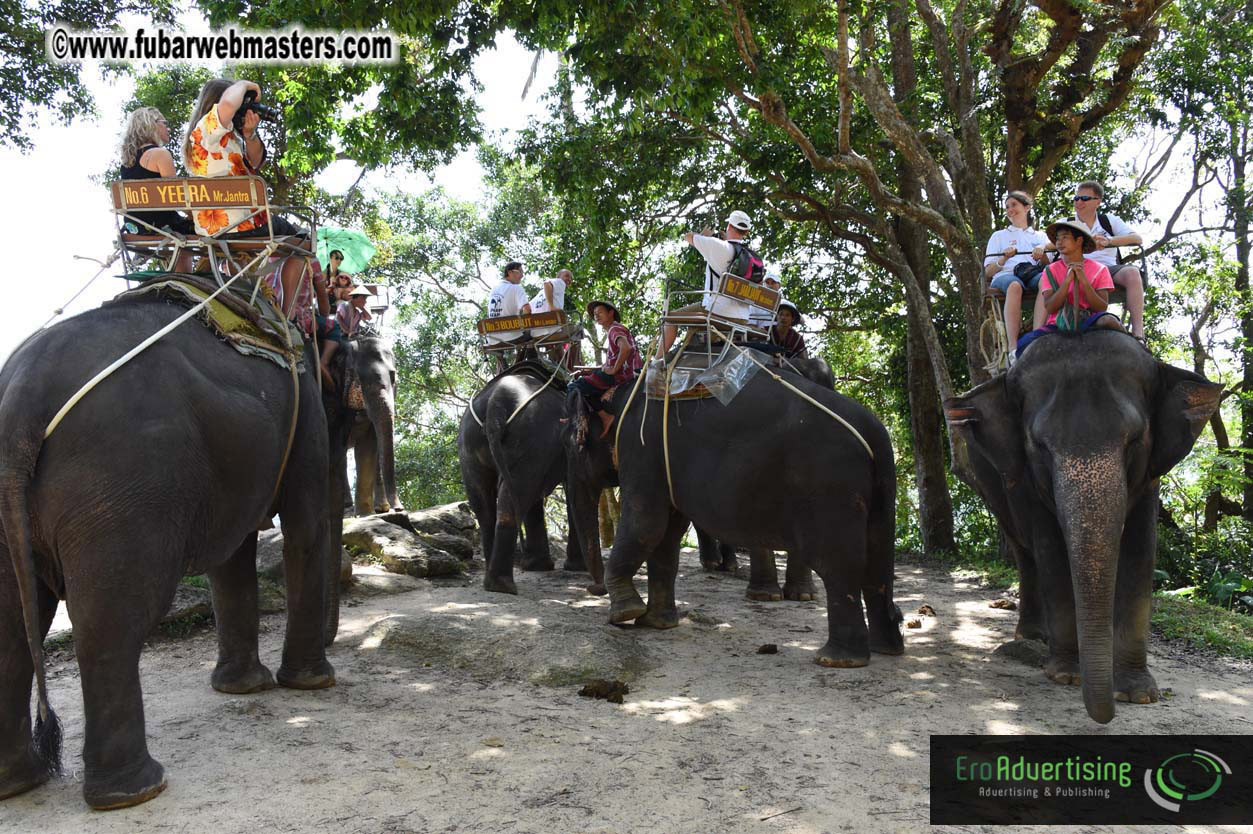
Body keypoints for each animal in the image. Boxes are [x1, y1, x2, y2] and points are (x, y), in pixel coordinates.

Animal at [0, 286, 338, 810]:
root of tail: (20, 397)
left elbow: (231, 556)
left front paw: (242, 690)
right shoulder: (304, 405)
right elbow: (305, 527)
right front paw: (312, 683)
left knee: (13, 624)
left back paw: (19, 783)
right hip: (123, 481)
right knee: (112, 618)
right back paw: (135, 791)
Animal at [458, 363, 600, 595]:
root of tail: (495, 404)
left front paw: (538, 567)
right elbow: (570, 489)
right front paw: (573, 568)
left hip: (469, 443)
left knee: (486, 505)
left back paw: (493, 581)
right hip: (531, 436)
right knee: (515, 497)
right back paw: (503, 586)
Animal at [564, 361, 902, 667]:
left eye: (572, 440)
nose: (593, 588)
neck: (622, 391)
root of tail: (875, 433)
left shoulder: (641, 447)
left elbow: (646, 523)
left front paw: (624, 613)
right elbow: (668, 534)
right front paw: (655, 623)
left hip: (829, 486)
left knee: (837, 565)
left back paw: (836, 659)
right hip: (878, 492)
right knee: (878, 563)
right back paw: (886, 648)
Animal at [944, 330, 1221, 724]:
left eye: (1134, 440)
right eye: (1040, 446)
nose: (1105, 716)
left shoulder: (1150, 477)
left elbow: (1140, 552)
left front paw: (1138, 694)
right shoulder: (1028, 479)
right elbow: (1051, 550)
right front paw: (1066, 675)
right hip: (990, 484)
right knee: (1025, 553)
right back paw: (1032, 638)